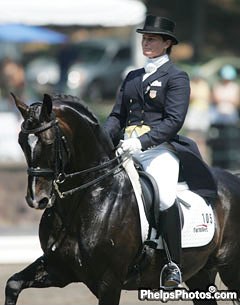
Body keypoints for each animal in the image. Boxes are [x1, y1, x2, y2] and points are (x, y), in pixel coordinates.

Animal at [4, 93, 240, 304]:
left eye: (49, 142)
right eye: (21, 142)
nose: (37, 199)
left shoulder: (109, 281)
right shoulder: (59, 269)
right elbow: (12, 284)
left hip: (230, 270)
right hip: (200, 273)